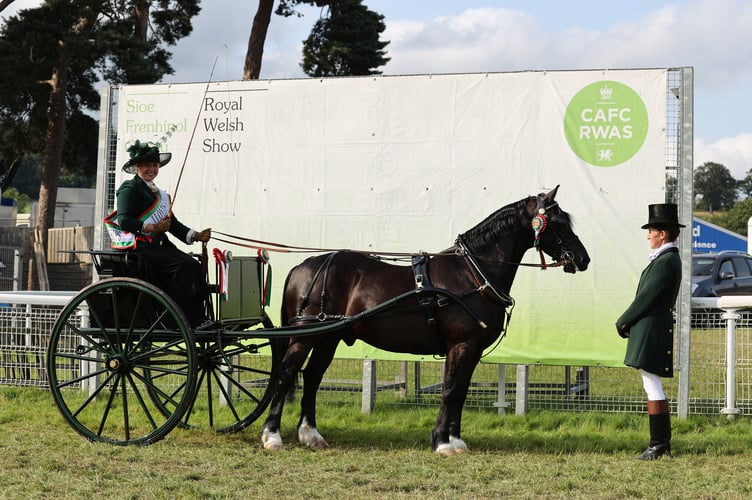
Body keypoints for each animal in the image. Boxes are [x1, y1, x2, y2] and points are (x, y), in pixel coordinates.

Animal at [262, 186, 592, 456]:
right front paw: (442, 442)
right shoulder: (461, 344)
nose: (583, 259)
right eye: (559, 223)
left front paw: (455, 440)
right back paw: (272, 435)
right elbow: (451, 390)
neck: (472, 273)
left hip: (327, 338)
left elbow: (460, 391)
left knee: (312, 378)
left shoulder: (471, 349)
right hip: (304, 336)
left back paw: (310, 435)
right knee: (285, 374)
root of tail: (304, 265)